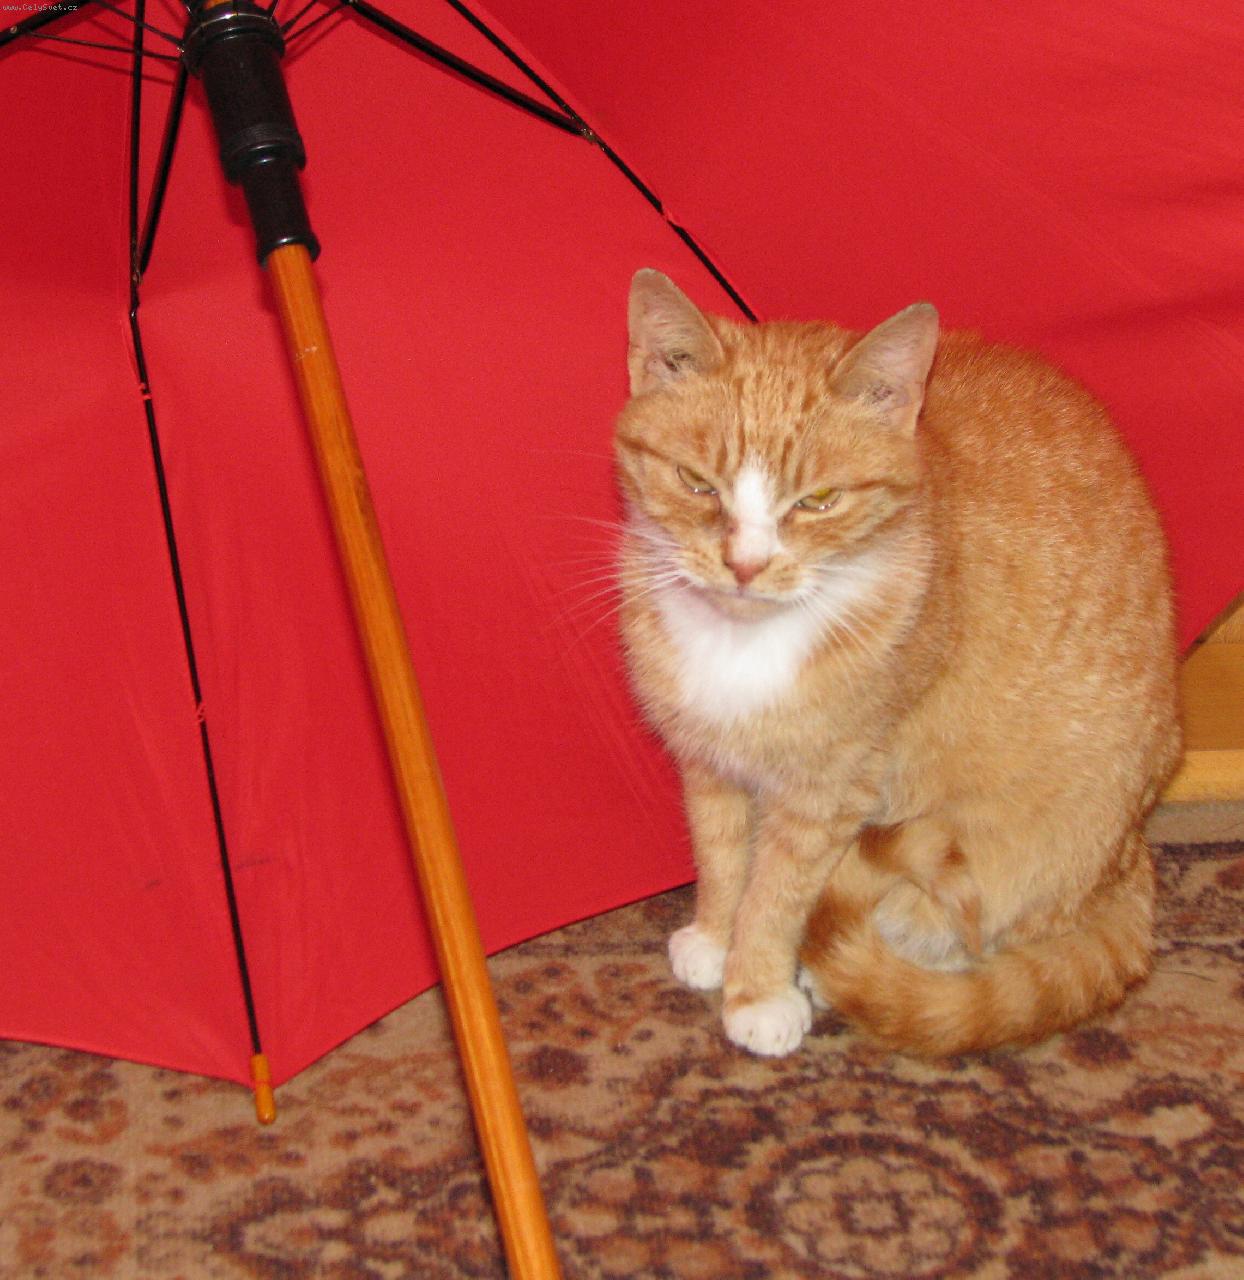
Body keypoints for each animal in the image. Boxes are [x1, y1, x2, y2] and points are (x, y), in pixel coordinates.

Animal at [614, 268, 1181, 1058]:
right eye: (696, 482)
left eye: (819, 500)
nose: (745, 566)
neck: (746, 641)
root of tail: (1134, 854)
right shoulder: (708, 760)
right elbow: (723, 856)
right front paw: (714, 937)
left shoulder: (829, 788)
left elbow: (777, 893)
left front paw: (756, 990)